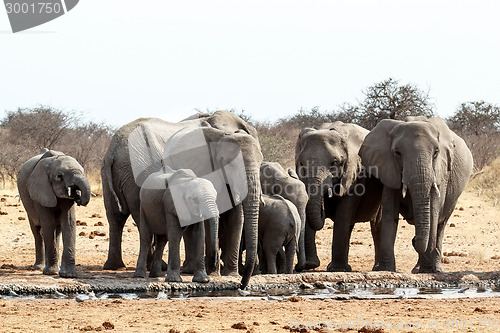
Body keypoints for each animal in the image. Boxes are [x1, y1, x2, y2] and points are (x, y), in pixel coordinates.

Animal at [102, 110, 264, 286]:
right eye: (231, 164)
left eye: (261, 162)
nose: (242, 284)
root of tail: (113, 148)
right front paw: (216, 273)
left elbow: (236, 216)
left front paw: (230, 274)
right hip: (136, 170)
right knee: (140, 218)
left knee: (115, 217)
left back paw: (115, 266)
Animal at [294, 120, 380, 272]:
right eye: (302, 164)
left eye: (334, 163)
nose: (323, 210)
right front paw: (311, 265)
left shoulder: (355, 173)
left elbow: (344, 211)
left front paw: (336, 269)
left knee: (376, 225)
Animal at [360, 115, 472, 272]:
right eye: (397, 153)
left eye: (436, 152)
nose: (414, 240)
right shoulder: (388, 167)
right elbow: (390, 214)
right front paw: (387, 270)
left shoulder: (441, 171)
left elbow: (433, 212)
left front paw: (426, 271)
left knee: (441, 224)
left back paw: (434, 269)